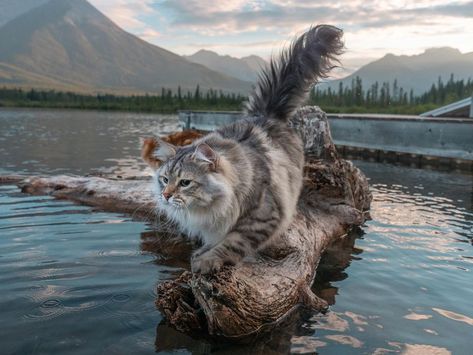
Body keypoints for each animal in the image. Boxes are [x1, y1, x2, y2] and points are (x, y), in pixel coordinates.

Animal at [141, 25, 342, 276]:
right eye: (165, 179)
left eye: (185, 183)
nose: (166, 196)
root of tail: (265, 115)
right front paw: (202, 252)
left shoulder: (262, 215)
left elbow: (232, 242)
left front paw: (207, 260)